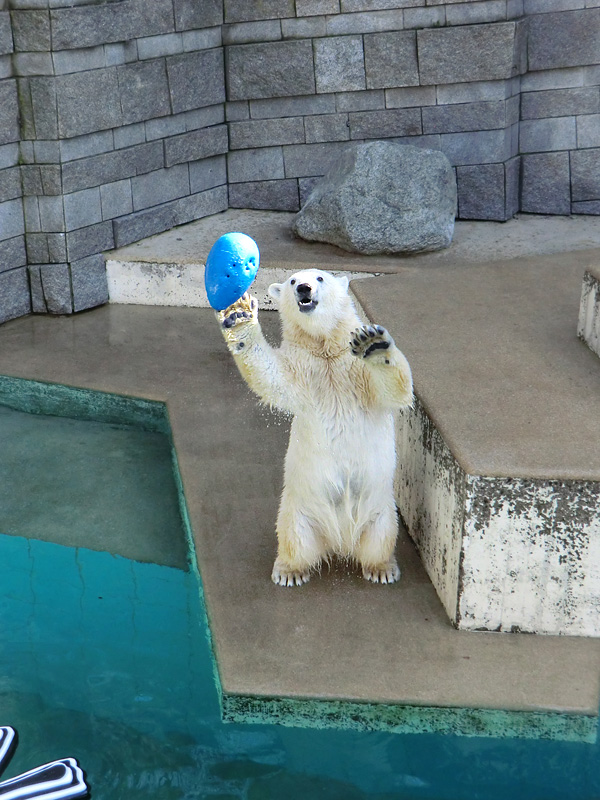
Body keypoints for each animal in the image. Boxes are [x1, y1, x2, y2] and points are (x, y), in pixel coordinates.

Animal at [218, 268, 414, 588]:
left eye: (320, 278)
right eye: (292, 281)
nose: (304, 289)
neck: (326, 351)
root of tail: (341, 542)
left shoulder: (353, 374)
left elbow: (395, 391)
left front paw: (374, 345)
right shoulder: (304, 370)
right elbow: (272, 377)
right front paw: (239, 314)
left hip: (382, 512)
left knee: (380, 539)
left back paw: (381, 568)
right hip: (297, 512)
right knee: (295, 540)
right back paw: (289, 571)